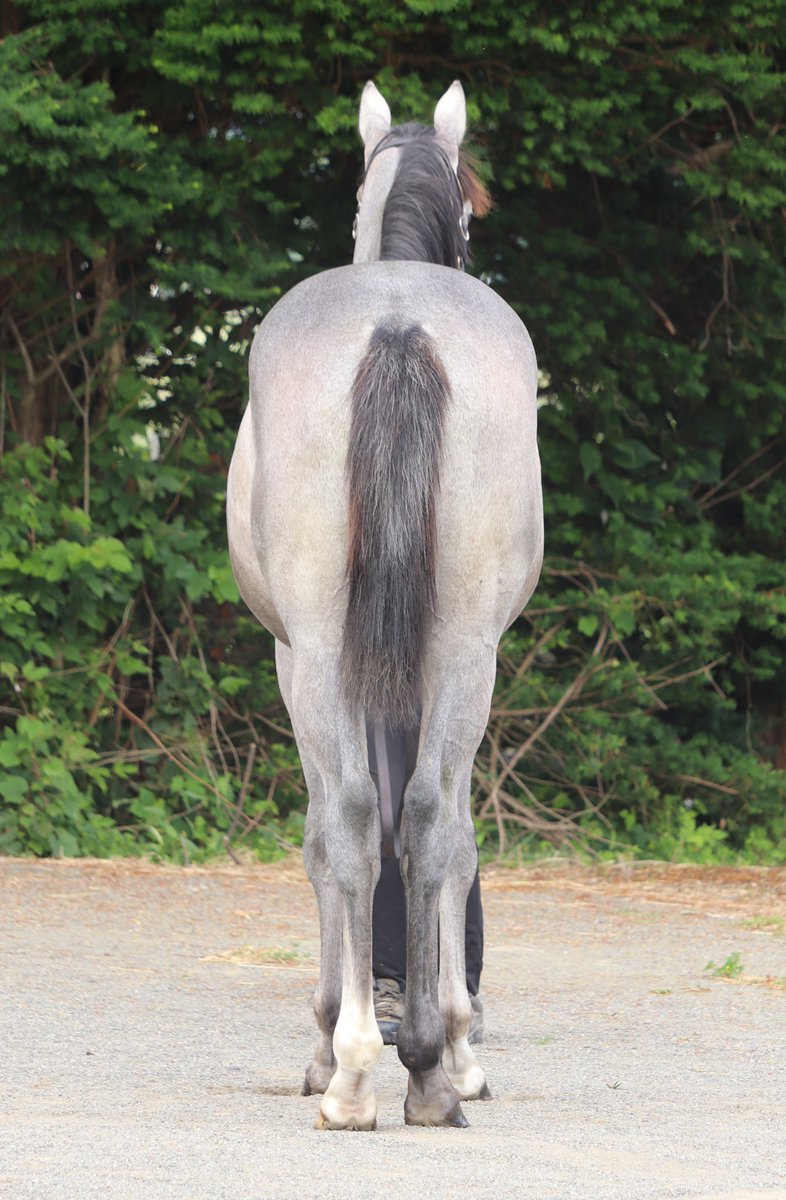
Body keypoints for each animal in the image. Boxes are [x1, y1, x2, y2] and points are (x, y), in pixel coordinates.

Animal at [226, 80, 543, 1130]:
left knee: (362, 818)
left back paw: (361, 1067)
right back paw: (430, 1074)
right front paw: (443, 1042)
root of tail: (398, 325)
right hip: (460, 652)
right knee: (434, 818)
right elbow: (433, 830)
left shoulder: (298, 658)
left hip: (329, 654)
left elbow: (332, 833)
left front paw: (334, 1037)